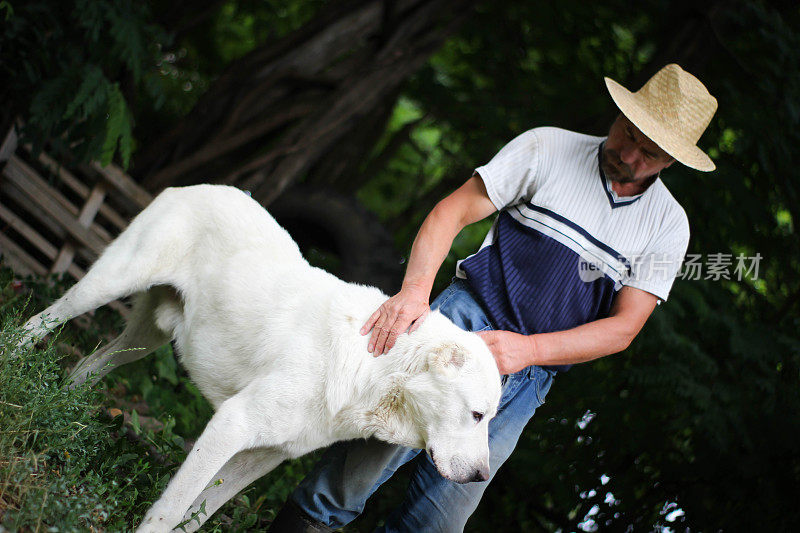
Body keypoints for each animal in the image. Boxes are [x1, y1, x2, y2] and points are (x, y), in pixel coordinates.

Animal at [21, 184, 500, 532]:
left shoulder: (261, 457)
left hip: (146, 337)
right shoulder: (231, 425)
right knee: (37, 324)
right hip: (105, 286)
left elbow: (198, 514)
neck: (373, 371)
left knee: (86, 367)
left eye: (490, 419)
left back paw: (58, 417)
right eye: (476, 415)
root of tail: (204, 185)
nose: (482, 477)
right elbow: (172, 509)